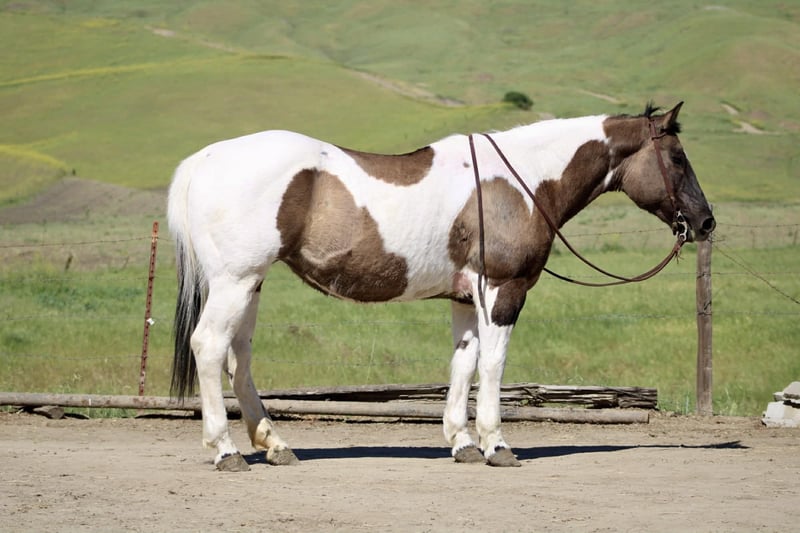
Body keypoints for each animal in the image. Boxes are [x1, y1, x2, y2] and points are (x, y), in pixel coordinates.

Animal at [168, 102, 715, 470]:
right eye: (678, 157)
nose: (705, 222)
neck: (521, 182)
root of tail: (205, 159)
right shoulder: (503, 291)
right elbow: (492, 366)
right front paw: (496, 443)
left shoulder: (467, 298)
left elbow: (464, 363)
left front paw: (462, 442)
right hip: (235, 282)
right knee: (209, 347)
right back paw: (225, 450)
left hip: (250, 285)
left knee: (239, 357)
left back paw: (275, 445)